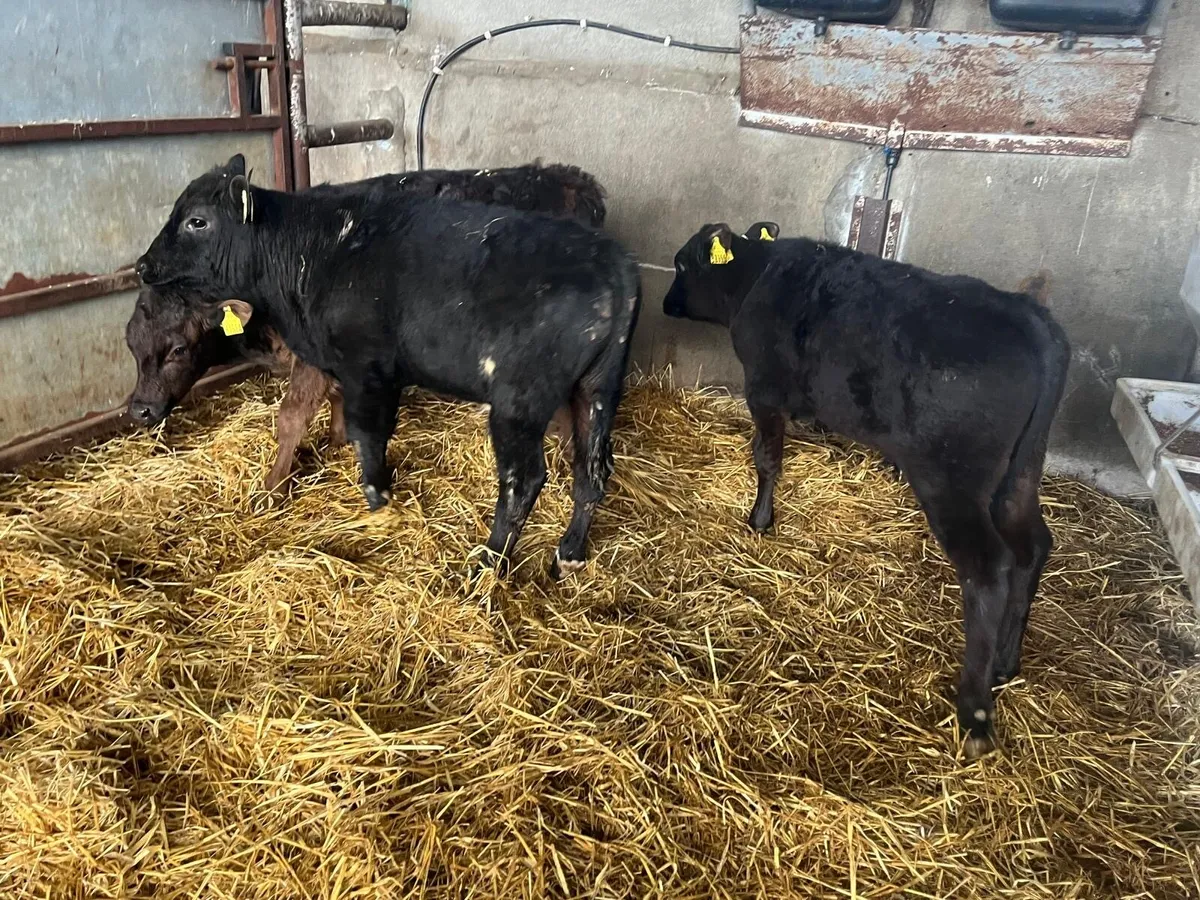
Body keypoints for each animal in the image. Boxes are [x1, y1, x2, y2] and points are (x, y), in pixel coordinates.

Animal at [135, 154, 640, 578]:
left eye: (197, 221)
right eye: (133, 346)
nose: (142, 263)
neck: (315, 250)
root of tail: (612, 260)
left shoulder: (363, 367)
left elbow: (340, 428)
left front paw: (355, 495)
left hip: (519, 403)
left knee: (524, 481)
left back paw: (487, 563)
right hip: (595, 389)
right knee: (592, 467)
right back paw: (570, 553)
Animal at [663, 221, 1070, 758]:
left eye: (682, 263)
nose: (666, 303)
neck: (757, 275)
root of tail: (1028, 316)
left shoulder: (763, 389)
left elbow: (767, 457)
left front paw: (760, 520)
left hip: (950, 481)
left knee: (988, 570)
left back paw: (975, 711)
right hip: (1021, 472)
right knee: (1032, 547)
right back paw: (1005, 662)